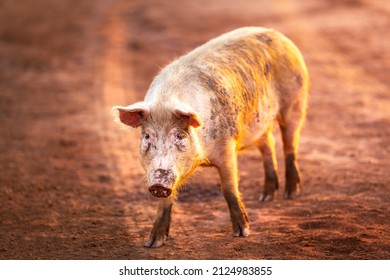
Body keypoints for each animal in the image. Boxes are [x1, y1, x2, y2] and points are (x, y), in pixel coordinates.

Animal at [113, 26, 310, 247]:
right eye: (147, 136)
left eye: (179, 135)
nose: (158, 183)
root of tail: (277, 34)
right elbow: (165, 202)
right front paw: (152, 243)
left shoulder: (227, 147)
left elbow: (229, 189)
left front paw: (242, 233)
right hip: (260, 124)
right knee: (268, 143)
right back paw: (265, 197)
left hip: (295, 101)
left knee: (289, 144)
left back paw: (291, 194)